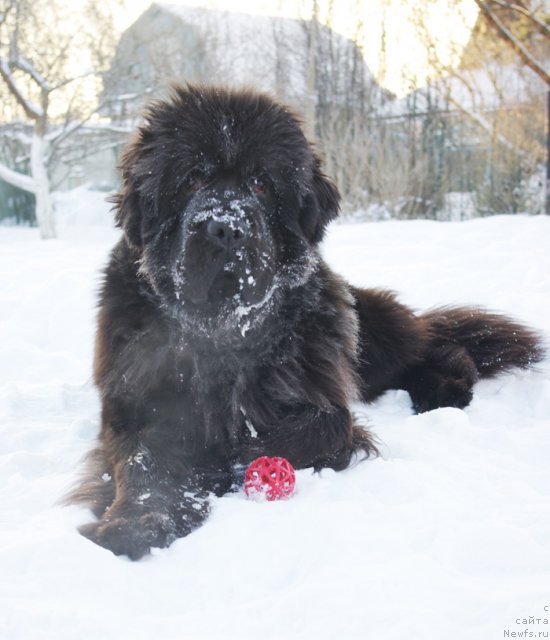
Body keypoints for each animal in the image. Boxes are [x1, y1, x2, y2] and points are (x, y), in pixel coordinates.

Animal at [68, 82, 544, 556]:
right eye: (194, 179)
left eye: (261, 184)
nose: (225, 227)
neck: (222, 332)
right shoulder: (133, 400)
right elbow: (141, 463)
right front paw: (135, 522)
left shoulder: (319, 392)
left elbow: (321, 425)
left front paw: (221, 465)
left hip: (369, 334)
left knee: (434, 348)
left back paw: (446, 387)